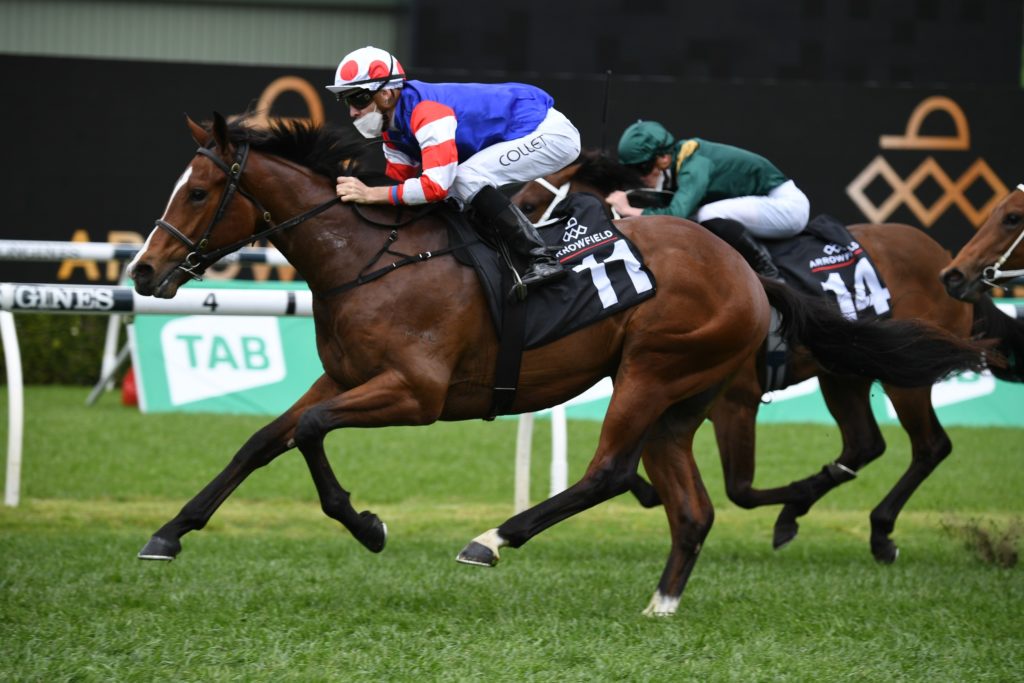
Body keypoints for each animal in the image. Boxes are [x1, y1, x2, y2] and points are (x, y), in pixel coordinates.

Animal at [512, 154, 1022, 563]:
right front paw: (653, 493)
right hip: (845, 372)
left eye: (532, 204)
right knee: (864, 444)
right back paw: (811, 511)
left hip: (903, 375)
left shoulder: (734, 400)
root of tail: (947, 261)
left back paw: (876, 531)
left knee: (931, 446)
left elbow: (739, 489)